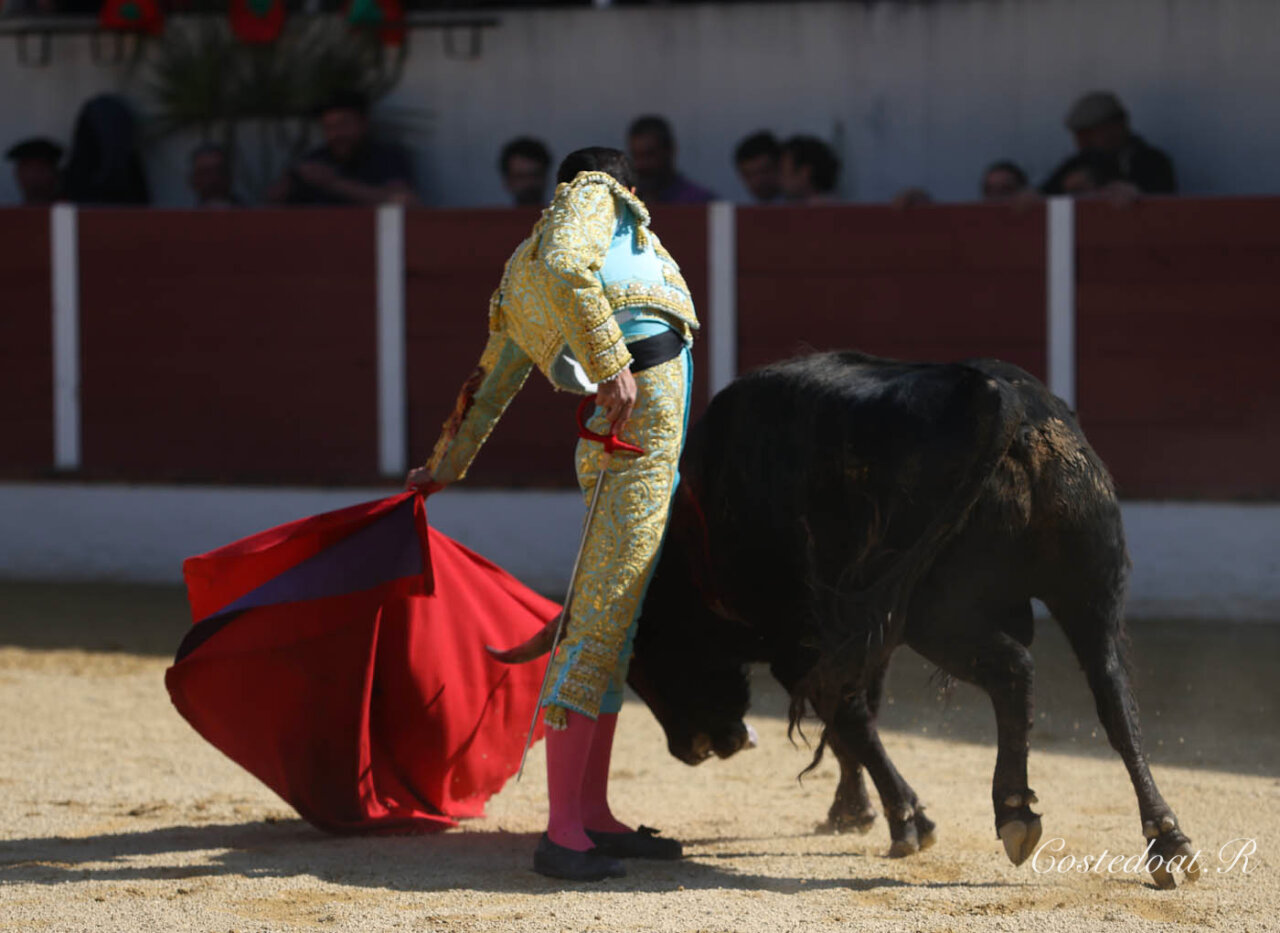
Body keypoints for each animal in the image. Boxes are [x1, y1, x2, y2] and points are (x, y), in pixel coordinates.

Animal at [624, 351, 1200, 890]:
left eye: (646, 665)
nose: (687, 750)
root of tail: (1002, 396)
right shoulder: (862, 636)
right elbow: (860, 713)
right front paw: (854, 811)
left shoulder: (802, 645)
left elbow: (851, 718)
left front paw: (905, 820)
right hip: (1089, 590)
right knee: (1115, 698)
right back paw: (1167, 839)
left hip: (936, 614)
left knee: (1014, 670)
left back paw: (1014, 810)